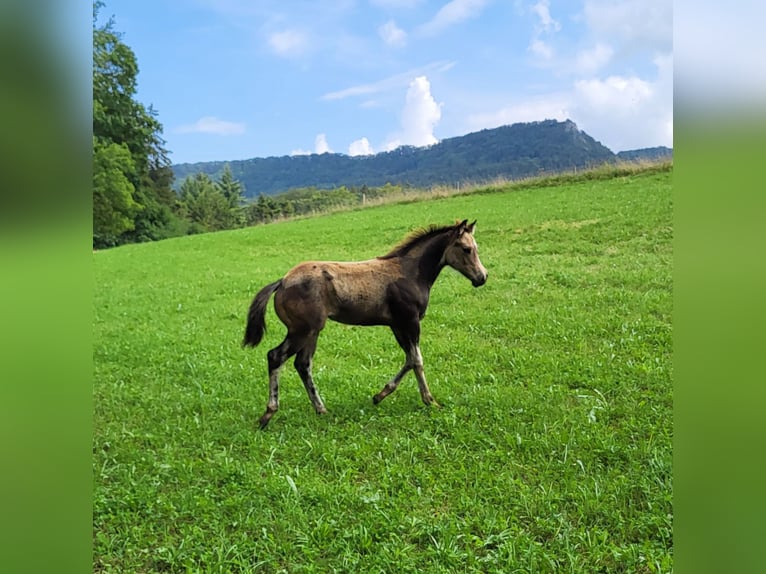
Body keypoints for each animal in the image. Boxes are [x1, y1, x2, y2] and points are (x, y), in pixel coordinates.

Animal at [243, 218, 488, 430]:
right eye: (466, 248)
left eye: (475, 246)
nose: (482, 277)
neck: (408, 272)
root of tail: (282, 282)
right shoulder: (410, 321)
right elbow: (417, 360)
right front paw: (430, 401)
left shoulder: (397, 325)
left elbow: (409, 359)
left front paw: (379, 395)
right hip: (301, 331)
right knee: (275, 357)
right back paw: (268, 414)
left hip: (312, 332)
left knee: (303, 364)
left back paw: (321, 410)